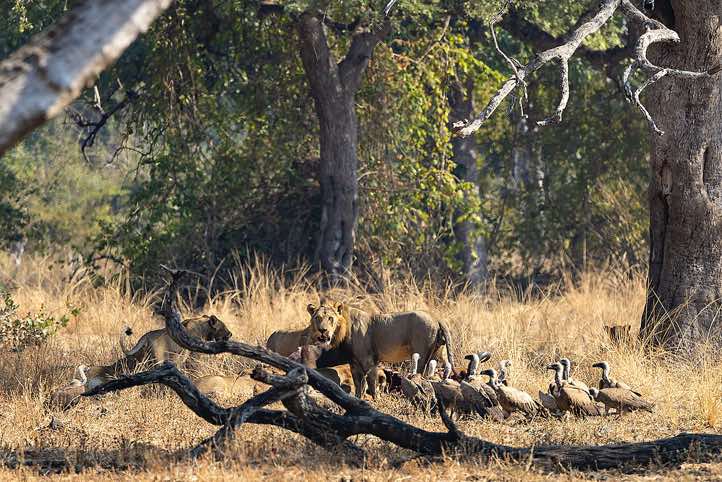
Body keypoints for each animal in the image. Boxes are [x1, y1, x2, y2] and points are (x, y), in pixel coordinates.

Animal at [306, 301, 454, 399]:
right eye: (318, 318)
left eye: (330, 318)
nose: (323, 330)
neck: (343, 328)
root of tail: (436, 317)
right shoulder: (354, 363)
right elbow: (358, 384)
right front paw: (357, 399)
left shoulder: (369, 361)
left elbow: (371, 382)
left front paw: (375, 400)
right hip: (435, 353)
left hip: (422, 354)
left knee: (420, 374)